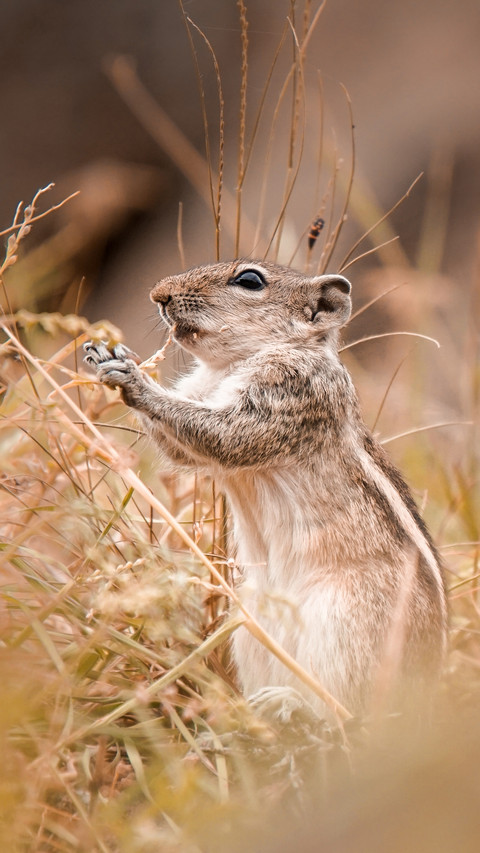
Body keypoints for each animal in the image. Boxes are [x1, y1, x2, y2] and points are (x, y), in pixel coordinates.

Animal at [84, 260, 447, 717]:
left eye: (250, 280)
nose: (159, 294)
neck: (235, 363)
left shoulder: (291, 393)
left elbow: (224, 434)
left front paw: (134, 380)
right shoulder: (202, 392)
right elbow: (181, 445)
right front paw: (108, 356)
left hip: (344, 629)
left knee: (349, 711)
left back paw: (294, 704)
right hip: (249, 629)